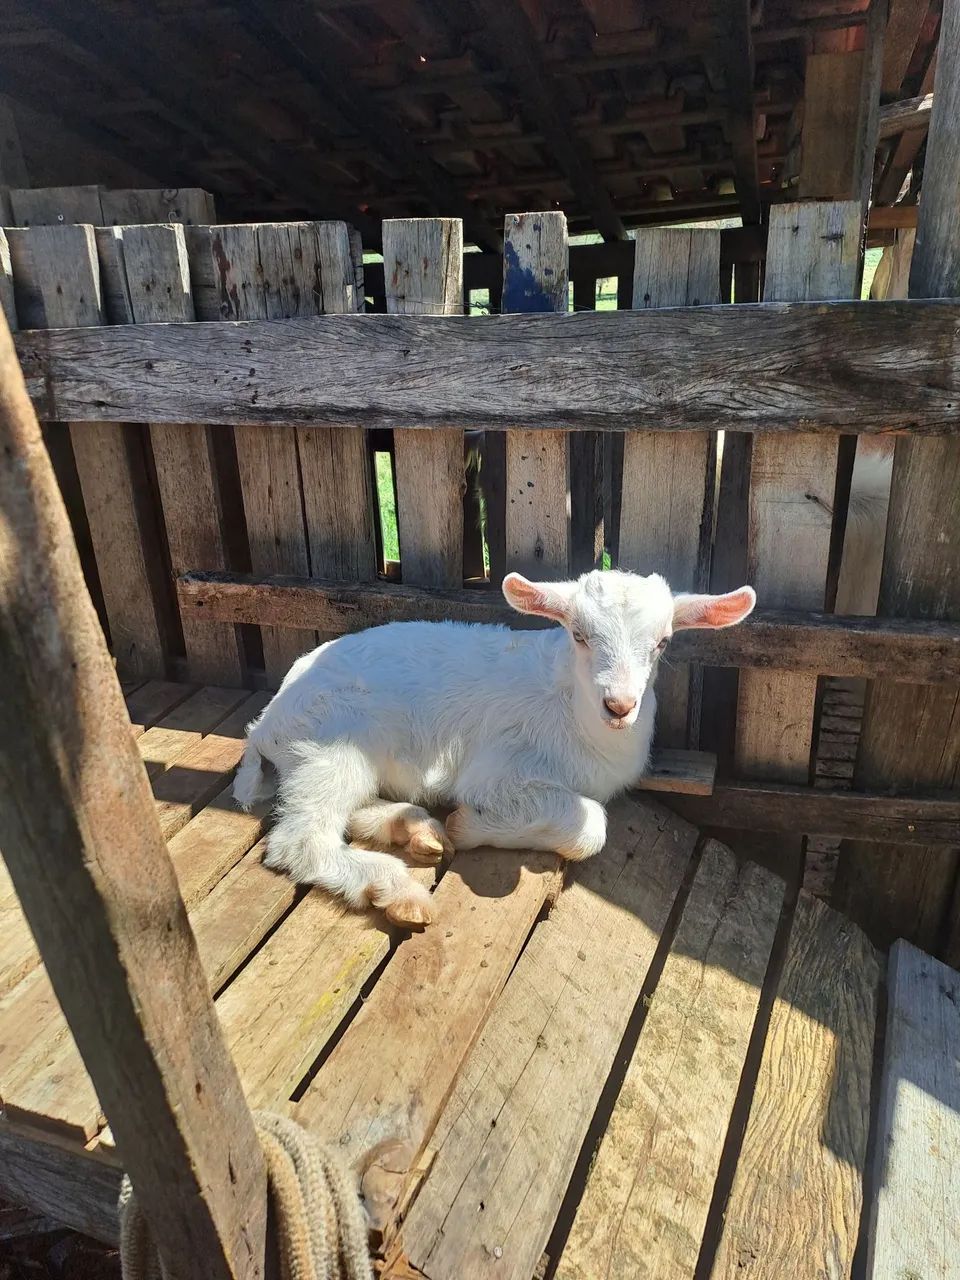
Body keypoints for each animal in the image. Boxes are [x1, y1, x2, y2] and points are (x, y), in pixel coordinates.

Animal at [233, 569, 756, 926]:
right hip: (332, 743)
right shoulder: (500, 770)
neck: (570, 708)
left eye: (663, 642)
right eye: (579, 635)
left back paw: (412, 828)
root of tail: (264, 726)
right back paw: (397, 889)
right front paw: (468, 824)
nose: (620, 705)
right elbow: (589, 825)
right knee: (302, 839)